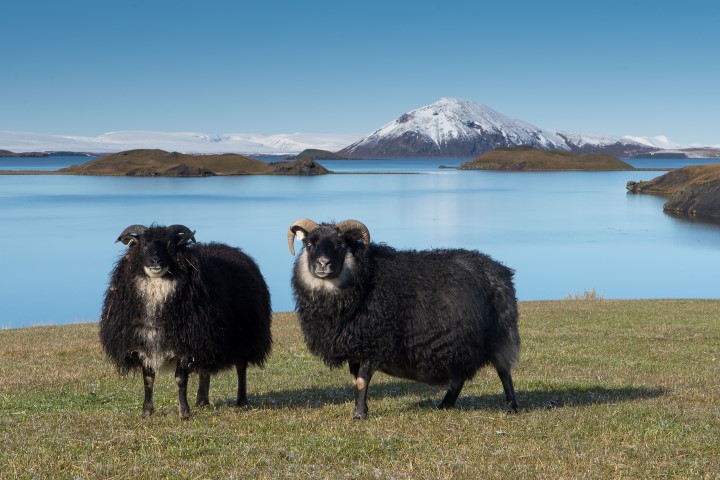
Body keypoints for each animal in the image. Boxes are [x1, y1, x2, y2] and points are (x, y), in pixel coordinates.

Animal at [99, 224, 272, 419]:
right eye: (142, 244)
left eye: (170, 245)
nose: (155, 261)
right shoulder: (143, 344)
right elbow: (148, 379)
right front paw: (146, 412)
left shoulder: (185, 344)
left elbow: (180, 380)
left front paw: (184, 413)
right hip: (207, 341)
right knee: (205, 370)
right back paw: (202, 400)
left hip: (244, 337)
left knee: (241, 368)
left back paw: (241, 400)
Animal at [287, 218, 520, 419]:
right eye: (309, 243)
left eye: (341, 244)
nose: (323, 264)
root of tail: (500, 269)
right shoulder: (354, 345)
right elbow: (355, 381)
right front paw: (359, 410)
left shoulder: (374, 341)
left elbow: (362, 381)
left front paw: (360, 414)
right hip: (461, 341)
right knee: (459, 376)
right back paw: (445, 404)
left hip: (500, 334)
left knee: (504, 372)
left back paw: (512, 407)